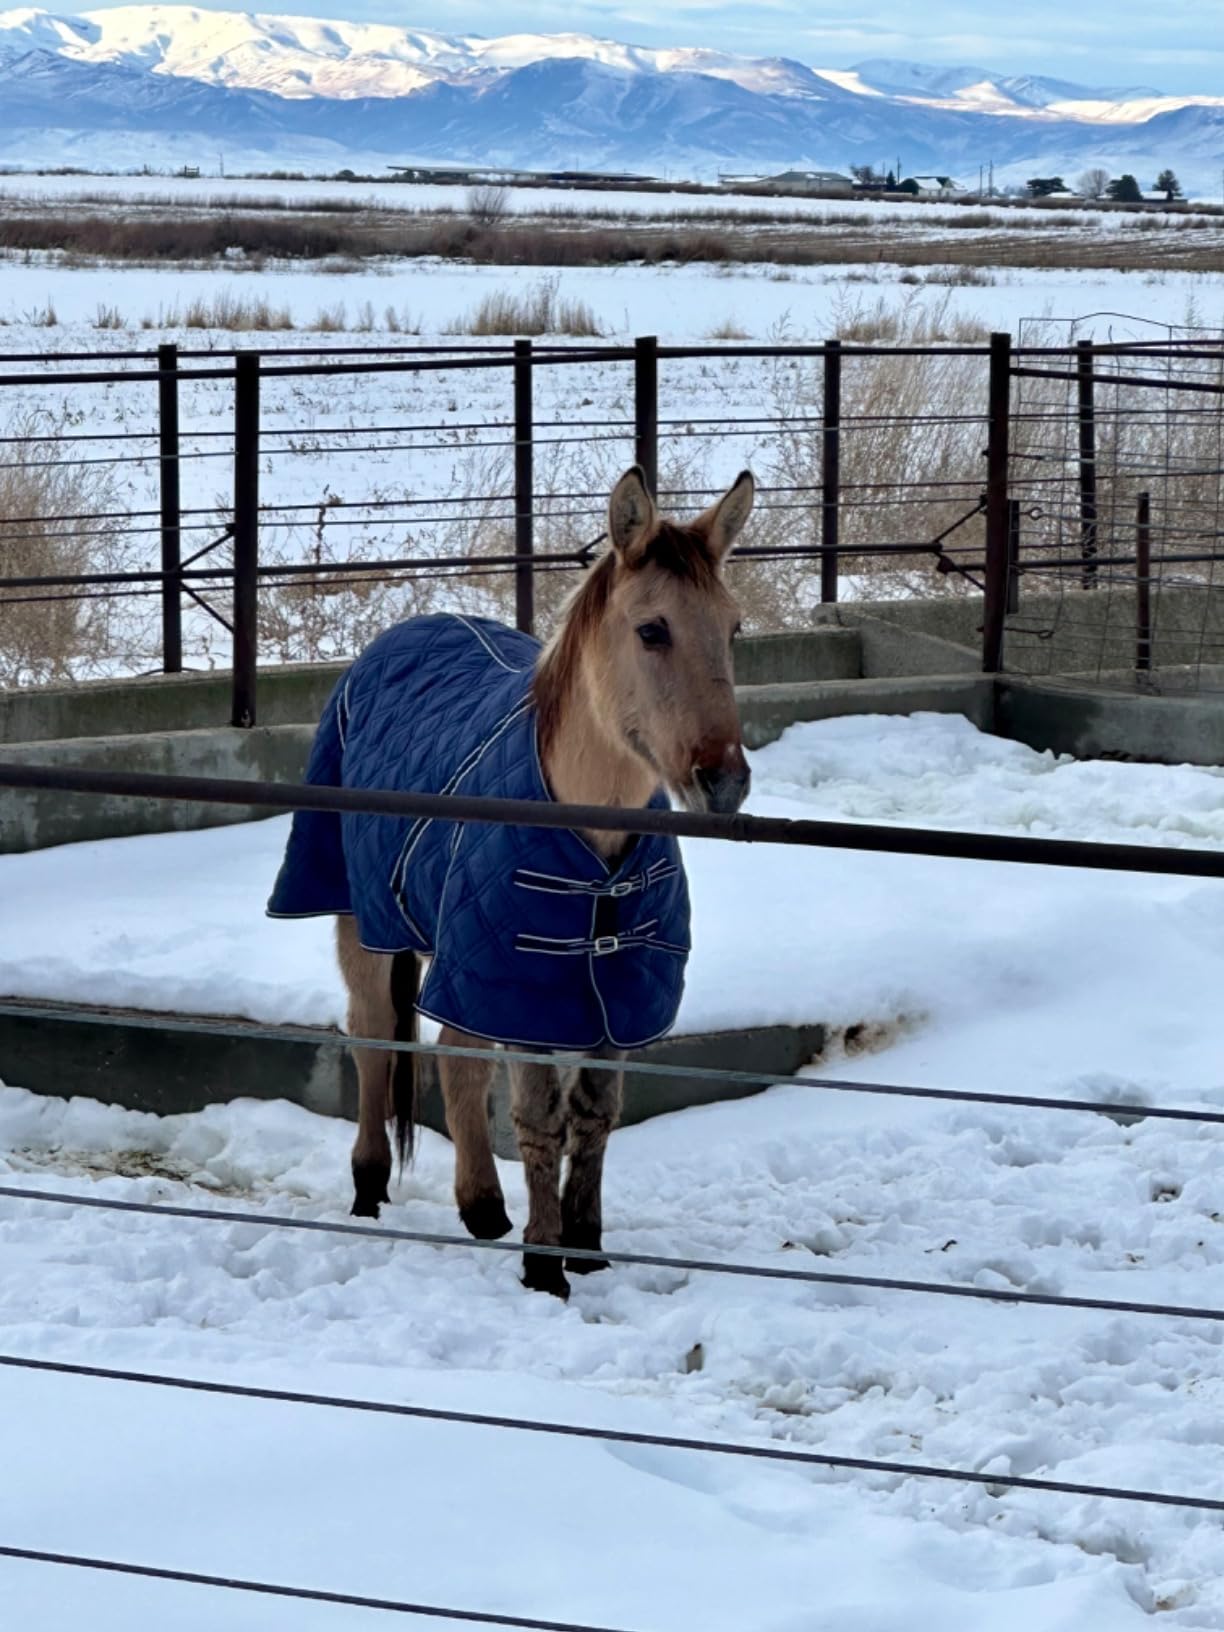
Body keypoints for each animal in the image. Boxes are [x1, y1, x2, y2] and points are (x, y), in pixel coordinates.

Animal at [268, 466, 754, 1298]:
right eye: (651, 630)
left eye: (733, 628)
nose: (723, 781)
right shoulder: (524, 984)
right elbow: (539, 1118)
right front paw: (544, 1264)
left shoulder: (611, 992)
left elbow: (594, 1114)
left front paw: (584, 1247)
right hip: (364, 920)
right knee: (375, 1037)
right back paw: (370, 1186)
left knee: (454, 1058)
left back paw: (482, 1207)